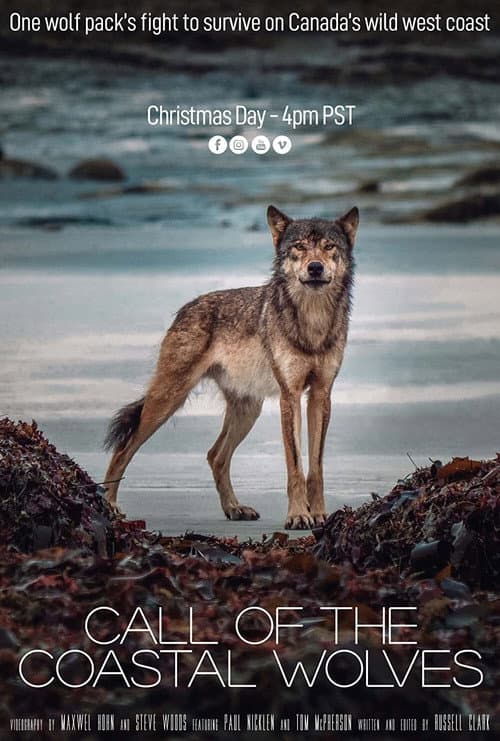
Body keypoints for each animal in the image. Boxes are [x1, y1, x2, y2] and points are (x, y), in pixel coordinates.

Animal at [104, 205, 358, 529]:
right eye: (299, 247)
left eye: (329, 247)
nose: (315, 267)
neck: (312, 321)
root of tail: (185, 308)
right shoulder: (289, 396)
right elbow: (295, 467)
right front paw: (298, 515)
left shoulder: (320, 395)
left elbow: (316, 468)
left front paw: (320, 515)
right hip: (167, 401)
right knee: (122, 450)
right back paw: (109, 506)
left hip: (247, 410)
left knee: (215, 455)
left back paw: (235, 508)